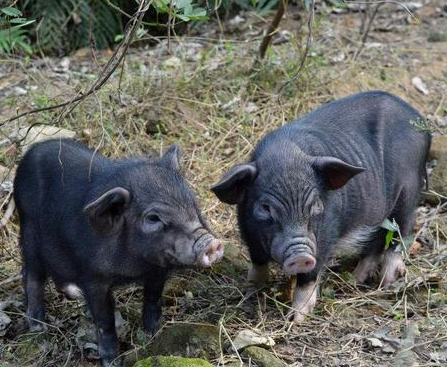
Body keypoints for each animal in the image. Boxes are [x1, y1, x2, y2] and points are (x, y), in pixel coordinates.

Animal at [14, 139, 224, 366]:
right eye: (153, 218)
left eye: (192, 204)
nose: (211, 243)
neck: (136, 267)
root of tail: (29, 155)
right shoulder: (94, 277)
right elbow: (104, 321)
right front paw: (112, 361)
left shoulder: (157, 270)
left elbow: (153, 300)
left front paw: (152, 336)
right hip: (29, 233)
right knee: (31, 275)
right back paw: (37, 327)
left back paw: (75, 294)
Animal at [212, 91, 432, 322]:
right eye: (265, 207)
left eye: (315, 204)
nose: (300, 256)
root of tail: (420, 121)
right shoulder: (248, 231)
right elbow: (257, 262)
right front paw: (248, 291)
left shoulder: (325, 236)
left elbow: (310, 275)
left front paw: (295, 318)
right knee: (376, 240)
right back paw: (357, 278)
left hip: (409, 191)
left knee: (401, 233)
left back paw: (386, 283)